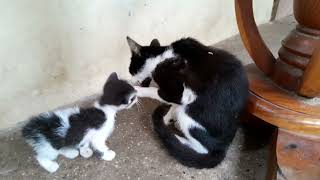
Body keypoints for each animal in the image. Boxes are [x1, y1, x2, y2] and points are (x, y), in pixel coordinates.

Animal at [126, 36, 249, 169]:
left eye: (131, 70)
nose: (131, 79)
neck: (163, 57)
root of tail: (223, 147)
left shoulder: (179, 94)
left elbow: (155, 91)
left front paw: (136, 90)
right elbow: (173, 106)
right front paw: (166, 118)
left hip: (189, 112)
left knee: (202, 148)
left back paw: (177, 138)